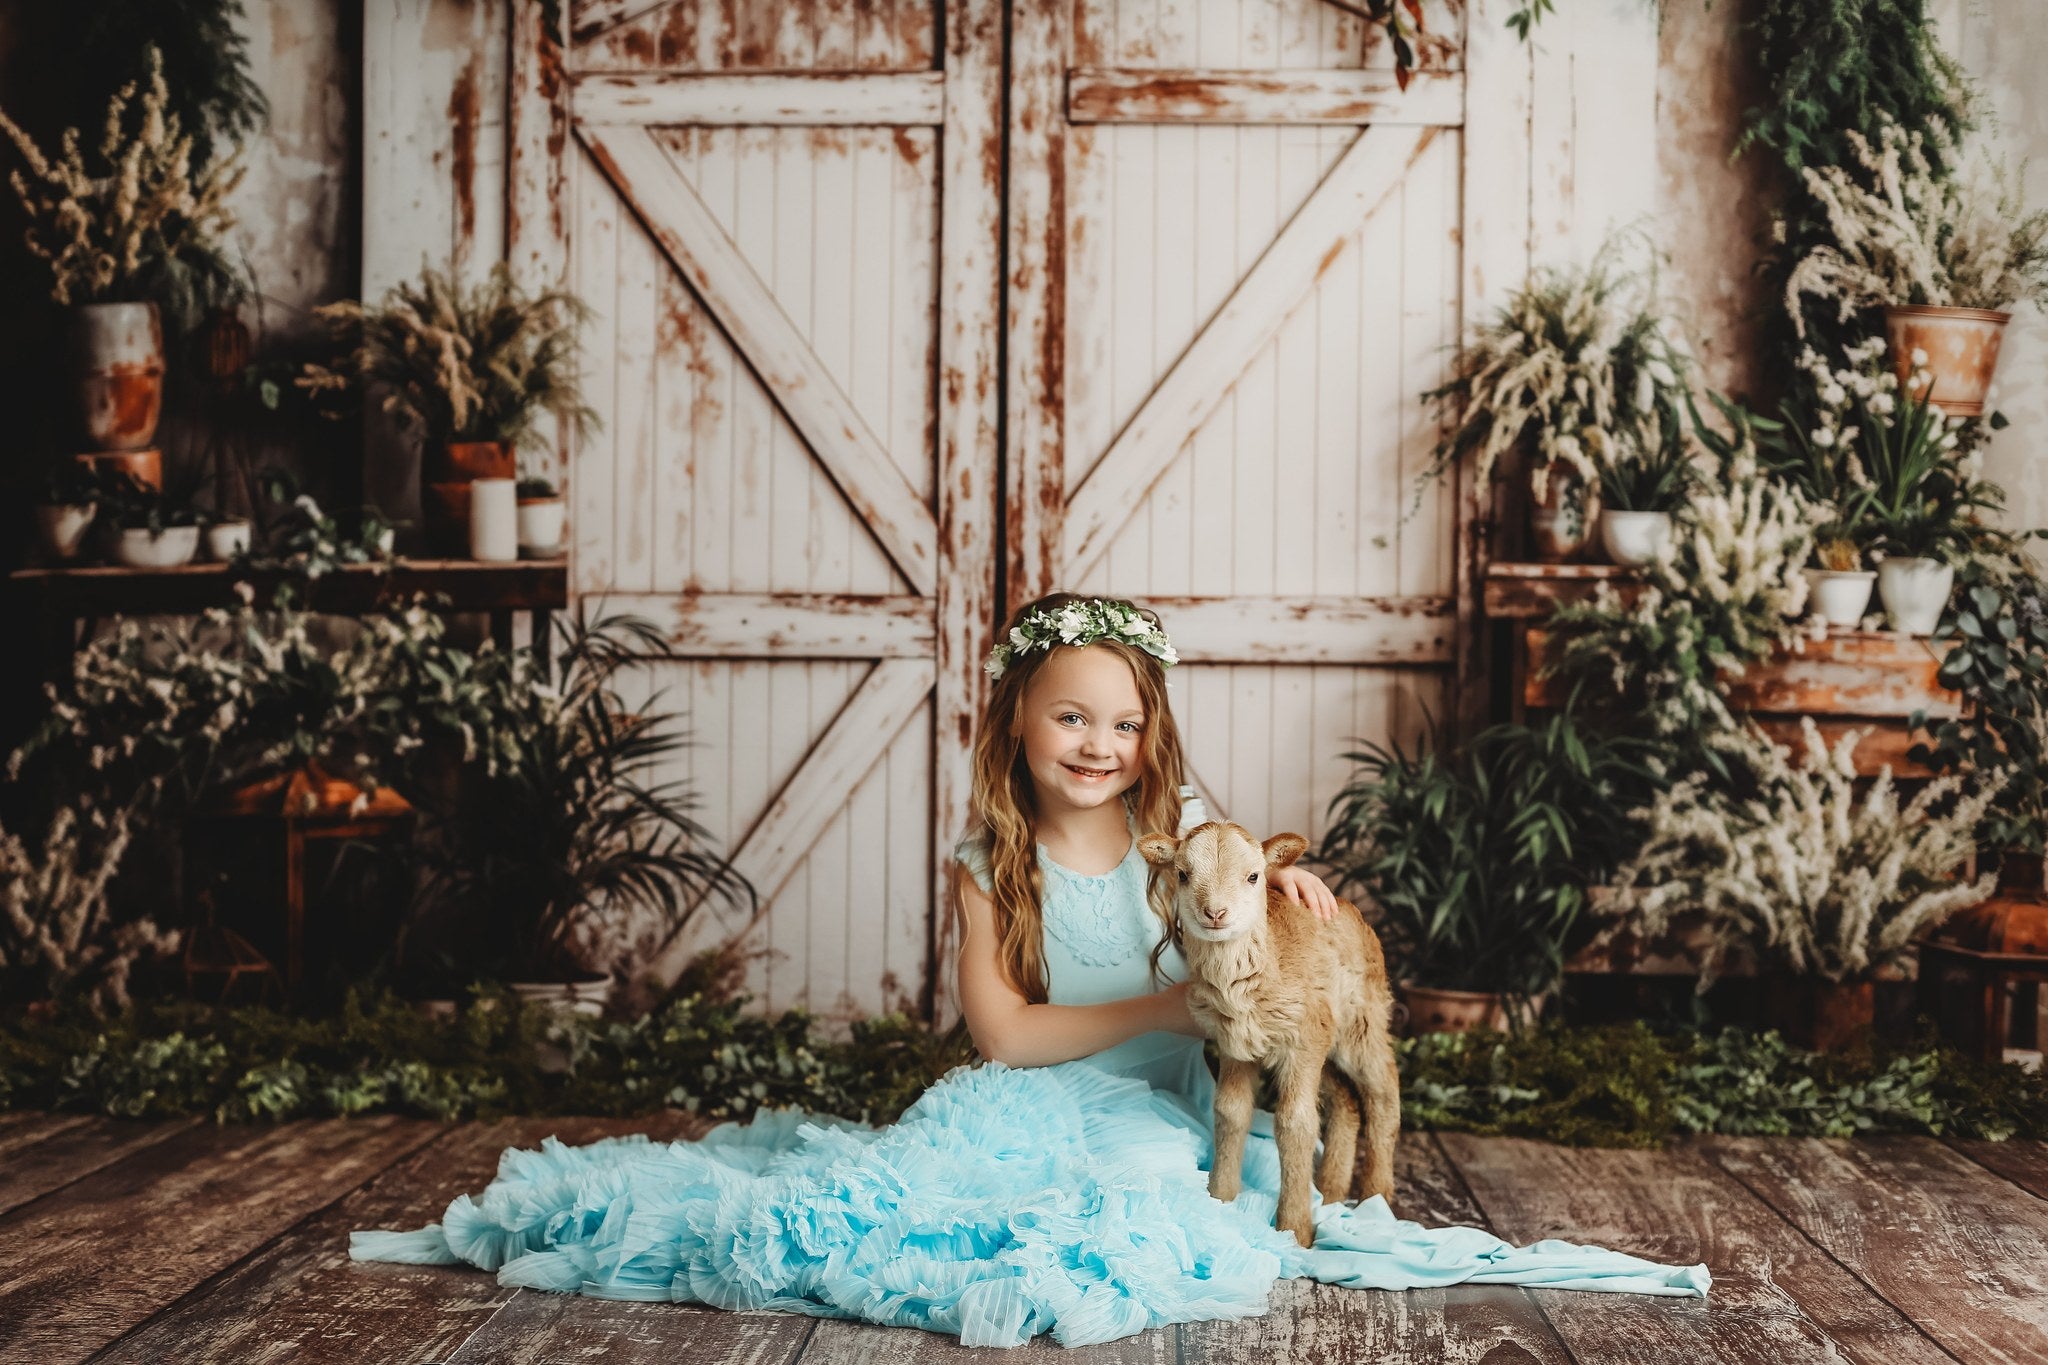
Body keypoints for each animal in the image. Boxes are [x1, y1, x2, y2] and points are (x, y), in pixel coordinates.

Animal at [1130, 822, 1400, 1252]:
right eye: (1183, 875)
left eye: (1254, 877)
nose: (1215, 913)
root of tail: (1350, 908)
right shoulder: (1235, 1045)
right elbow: (1230, 1112)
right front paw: (1220, 1199)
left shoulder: (1302, 1040)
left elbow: (1294, 1124)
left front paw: (1294, 1229)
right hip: (1321, 1042)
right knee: (1346, 1100)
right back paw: (1331, 1191)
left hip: (1361, 1018)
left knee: (1383, 1092)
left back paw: (1376, 1198)